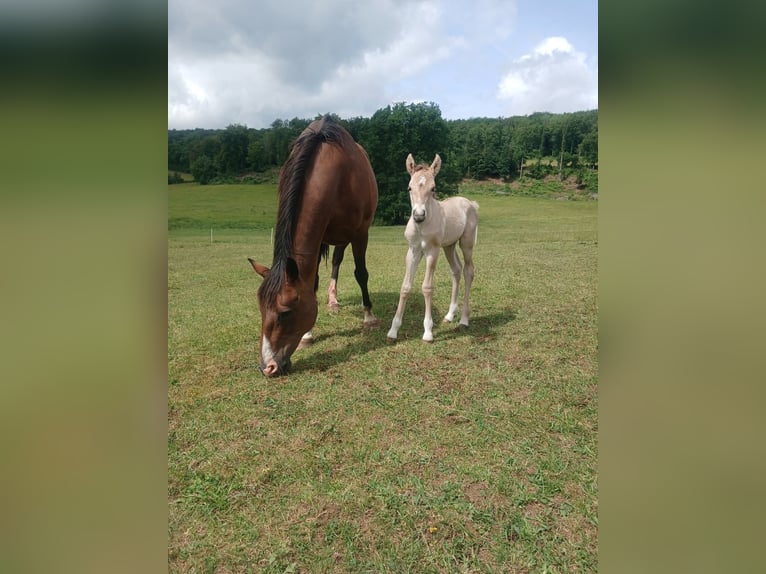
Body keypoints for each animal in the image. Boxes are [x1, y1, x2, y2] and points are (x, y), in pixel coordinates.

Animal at [248, 115, 378, 376]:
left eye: (285, 313)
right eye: (260, 309)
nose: (267, 367)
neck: (338, 174)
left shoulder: (360, 233)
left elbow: (361, 273)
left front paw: (369, 317)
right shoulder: (318, 239)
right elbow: (312, 281)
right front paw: (308, 334)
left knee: (338, 262)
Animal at [386, 153, 479, 343]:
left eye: (433, 188)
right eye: (409, 187)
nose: (418, 215)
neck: (422, 227)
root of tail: (471, 203)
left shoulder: (432, 251)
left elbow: (427, 287)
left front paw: (428, 332)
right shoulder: (413, 251)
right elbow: (405, 287)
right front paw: (393, 331)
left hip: (466, 243)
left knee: (468, 271)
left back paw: (464, 320)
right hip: (449, 246)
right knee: (456, 270)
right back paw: (450, 315)